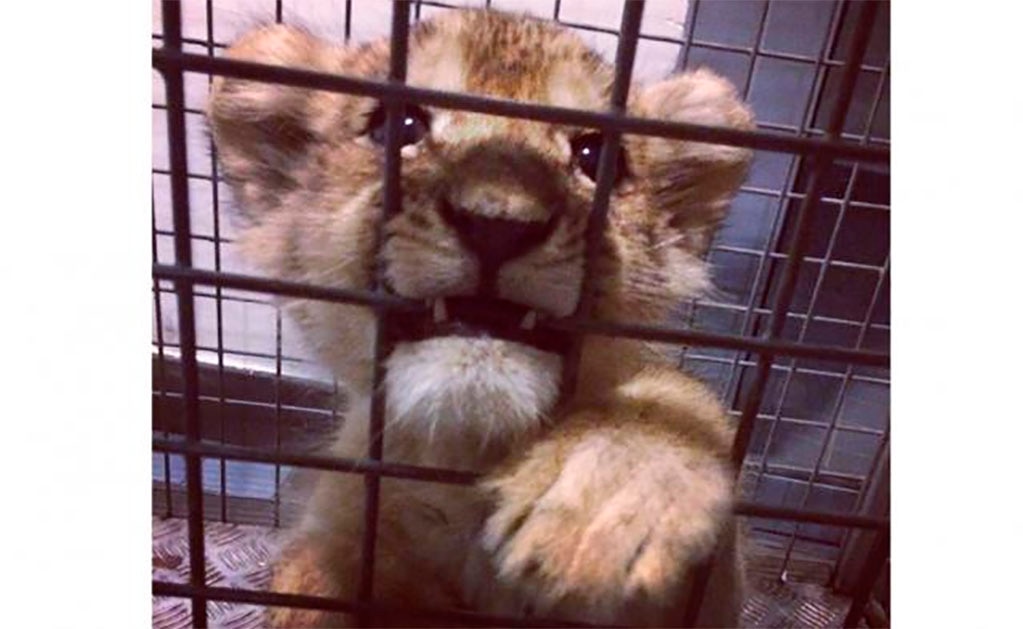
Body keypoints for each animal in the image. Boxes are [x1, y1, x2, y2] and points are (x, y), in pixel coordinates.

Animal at [207, 8, 754, 627]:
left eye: (596, 159)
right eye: (400, 128)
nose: (498, 223)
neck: (462, 456)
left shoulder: (713, 603)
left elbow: (675, 406)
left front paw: (612, 488)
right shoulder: (342, 538)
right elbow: (314, 582)